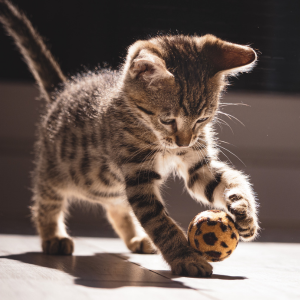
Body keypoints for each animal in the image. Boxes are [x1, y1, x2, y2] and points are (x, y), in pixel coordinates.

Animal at [0, 0, 258, 276]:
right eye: (168, 120)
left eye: (202, 119)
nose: (184, 142)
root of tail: (63, 92)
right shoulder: (138, 175)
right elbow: (159, 222)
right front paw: (186, 258)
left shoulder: (197, 165)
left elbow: (228, 180)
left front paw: (243, 211)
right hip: (55, 172)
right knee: (46, 201)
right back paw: (53, 237)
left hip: (111, 187)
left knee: (117, 207)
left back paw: (136, 238)